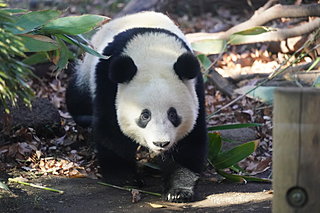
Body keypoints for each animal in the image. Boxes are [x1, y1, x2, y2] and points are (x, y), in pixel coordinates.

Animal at [66, 10, 209, 202]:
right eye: (145, 115)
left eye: (173, 114)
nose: (161, 143)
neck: (153, 50)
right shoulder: (108, 83)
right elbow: (112, 132)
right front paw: (125, 178)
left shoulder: (195, 89)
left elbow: (190, 140)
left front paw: (179, 190)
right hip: (88, 69)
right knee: (78, 98)